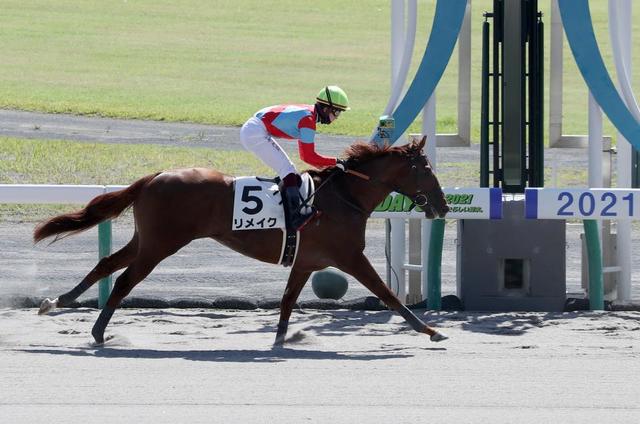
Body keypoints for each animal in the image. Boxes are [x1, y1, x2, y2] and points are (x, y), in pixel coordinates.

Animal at [34, 136, 450, 345]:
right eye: (427, 169)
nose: (444, 205)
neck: (344, 196)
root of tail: (156, 176)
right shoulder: (350, 256)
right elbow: (388, 293)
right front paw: (429, 330)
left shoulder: (307, 260)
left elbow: (288, 299)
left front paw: (282, 338)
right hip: (161, 244)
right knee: (122, 281)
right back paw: (98, 332)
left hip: (147, 239)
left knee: (107, 264)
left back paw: (58, 302)